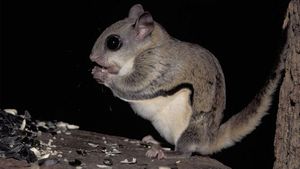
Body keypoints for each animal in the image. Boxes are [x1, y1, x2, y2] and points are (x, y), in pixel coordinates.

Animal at [88, 4, 284, 160]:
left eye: (113, 42)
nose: (92, 57)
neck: (150, 46)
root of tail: (208, 139)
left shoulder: (155, 66)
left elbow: (133, 85)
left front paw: (103, 75)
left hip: (191, 129)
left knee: (185, 152)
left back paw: (164, 152)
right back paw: (154, 141)